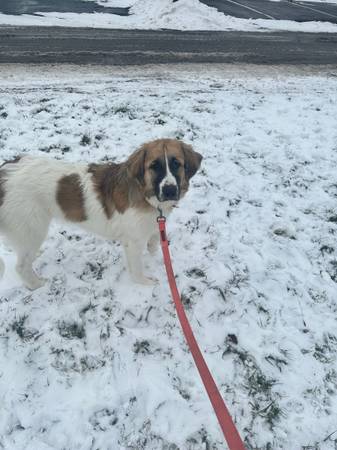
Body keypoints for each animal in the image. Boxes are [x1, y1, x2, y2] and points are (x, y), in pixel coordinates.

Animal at [0, 139, 202, 290]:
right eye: (154, 166)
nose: (169, 190)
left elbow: (154, 241)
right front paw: (144, 282)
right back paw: (37, 285)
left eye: (176, 164)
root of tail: (5, 171)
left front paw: (155, 254)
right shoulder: (133, 241)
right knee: (21, 266)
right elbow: (137, 267)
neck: (145, 192)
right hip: (31, 226)